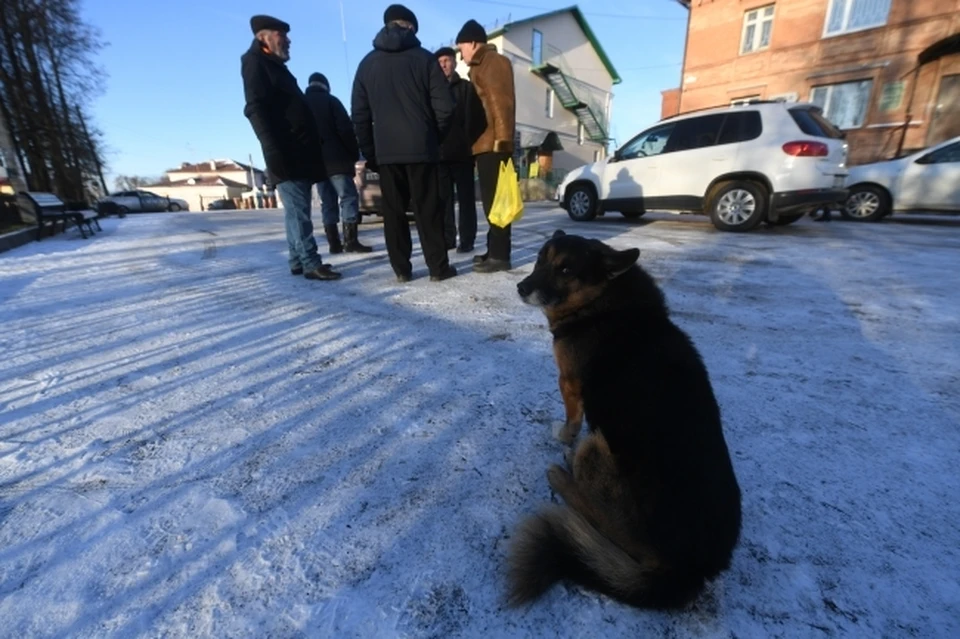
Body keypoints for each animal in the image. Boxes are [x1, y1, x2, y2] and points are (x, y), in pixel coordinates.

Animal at [510, 230, 744, 608]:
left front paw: (562, 437)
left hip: (597, 447)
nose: (521, 287)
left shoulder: (568, 384)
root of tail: (689, 571)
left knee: (595, 516)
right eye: (540, 259)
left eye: (566, 269)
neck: (604, 301)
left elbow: (571, 422)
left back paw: (562, 474)